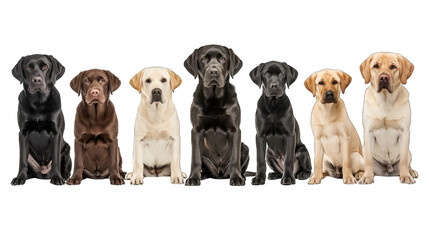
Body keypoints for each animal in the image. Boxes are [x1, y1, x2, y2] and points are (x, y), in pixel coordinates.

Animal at [10, 54, 71, 186]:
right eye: (28, 67)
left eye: (45, 67)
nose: (37, 80)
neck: (38, 102)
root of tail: (43, 173)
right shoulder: (23, 133)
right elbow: (22, 159)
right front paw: (19, 178)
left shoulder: (56, 132)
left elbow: (56, 158)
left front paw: (57, 178)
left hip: (67, 148)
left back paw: (65, 176)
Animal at [183, 44, 249, 186]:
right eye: (203, 59)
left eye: (223, 59)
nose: (213, 72)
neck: (214, 99)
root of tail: (220, 174)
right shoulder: (196, 130)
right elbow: (195, 158)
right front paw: (193, 178)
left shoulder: (234, 130)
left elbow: (235, 158)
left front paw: (237, 178)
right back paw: (203, 175)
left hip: (245, 147)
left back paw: (241, 176)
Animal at [358, 52, 418, 184]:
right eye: (376, 66)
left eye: (393, 67)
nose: (384, 78)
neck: (385, 101)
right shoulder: (368, 132)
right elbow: (368, 160)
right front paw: (367, 176)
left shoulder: (404, 131)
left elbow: (403, 160)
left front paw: (406, 176)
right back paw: (363, 173)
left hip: (409, 152)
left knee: (407, 162)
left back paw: (411, 172)